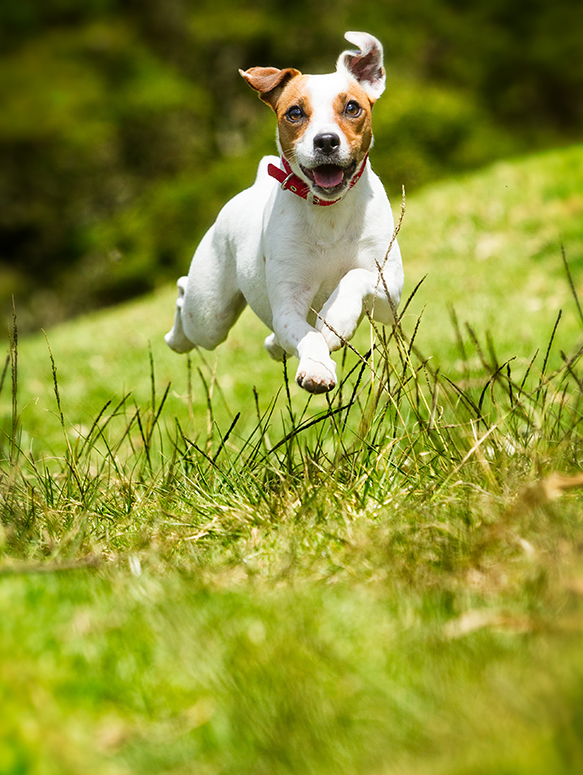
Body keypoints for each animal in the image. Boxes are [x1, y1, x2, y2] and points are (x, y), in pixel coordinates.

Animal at [164, 30, 402, 394]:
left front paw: (335, 317)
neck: (329, 213)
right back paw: (175, 338)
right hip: (209, 314)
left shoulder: (390, 289)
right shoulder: (288, 303)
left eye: (352, 107)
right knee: (184, 296)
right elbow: (307, 335)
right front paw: (317, 368)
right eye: (294, 113)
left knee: (272, 339)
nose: (326, 141)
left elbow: (355, 277)